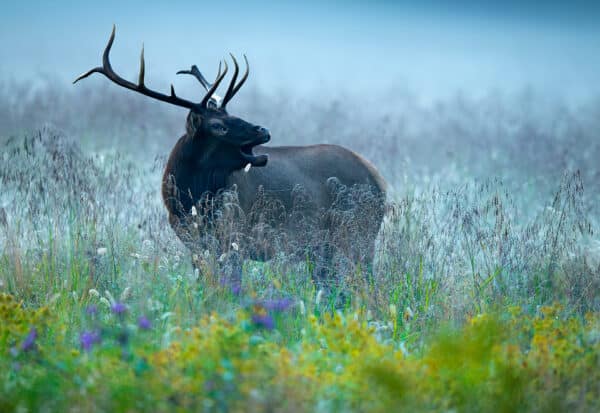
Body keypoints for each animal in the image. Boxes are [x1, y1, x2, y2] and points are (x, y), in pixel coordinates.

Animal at [75, 25, 386, 294]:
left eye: (230, 114)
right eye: (218, 125)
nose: (263, 130)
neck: (189, 198)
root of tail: (379, 181)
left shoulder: (234, 234)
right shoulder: (195, 242)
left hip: (357, 234)